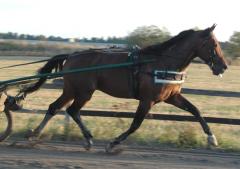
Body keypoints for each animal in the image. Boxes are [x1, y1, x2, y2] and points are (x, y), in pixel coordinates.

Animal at [20, 24, 227, 152]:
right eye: (214, 44)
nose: (223, 66)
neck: (161, 63)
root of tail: (72, 55)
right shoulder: (147, 100)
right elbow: (135, 124)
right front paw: (113, 143)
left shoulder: (172, 97)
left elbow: (196, 111)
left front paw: (212, 138)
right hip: (84, 92)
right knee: (72, 110)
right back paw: (86, 138)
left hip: (72, 90)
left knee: (55, 107)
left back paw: (35, 133)